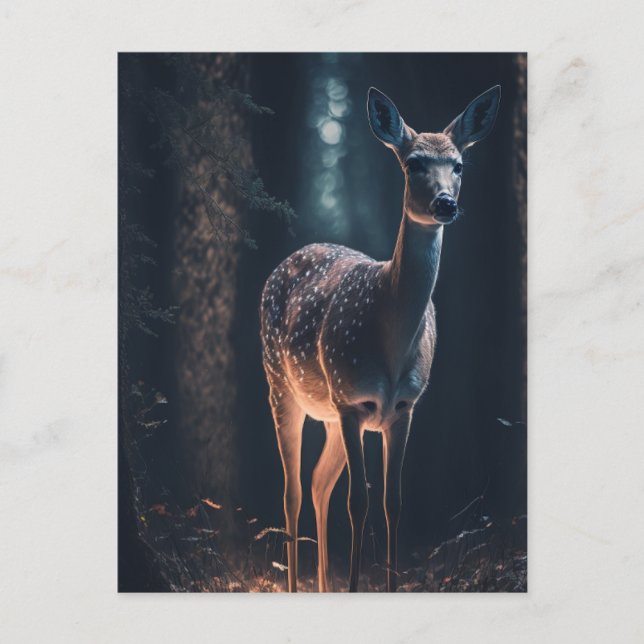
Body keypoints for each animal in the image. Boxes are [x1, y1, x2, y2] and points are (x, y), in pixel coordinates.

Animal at [260, 85, 500, 592]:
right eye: (412, 163)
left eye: (459, 165)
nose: (446, 203)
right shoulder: (353, 402)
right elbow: (360, 502)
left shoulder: (405, 407)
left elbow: (394, 502)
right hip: (281, 384)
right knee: (292, 490)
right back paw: (297, 585)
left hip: (329, 413)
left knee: (318, 482)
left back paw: (323, 587)